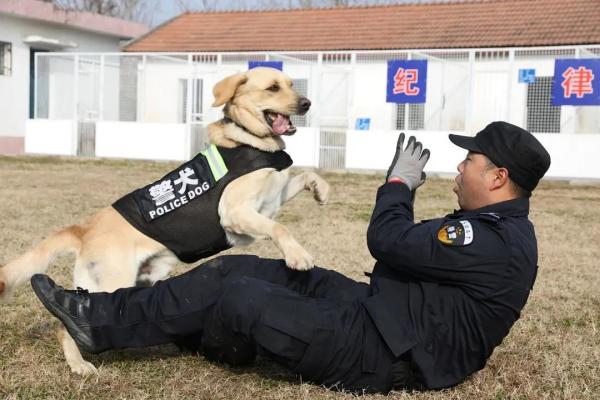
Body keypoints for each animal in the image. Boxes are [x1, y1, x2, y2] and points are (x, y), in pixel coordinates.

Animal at [0, 66, 330, 376]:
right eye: (273, 88)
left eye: (292, 84)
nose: (307, 103)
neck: (250, 141)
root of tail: (84, 229)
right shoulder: (235, 213)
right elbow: (279, 227)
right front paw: (298, 256)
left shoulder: (273, 198)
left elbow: (306, 176)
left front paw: (321, 190)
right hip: (110, 283)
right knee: (66, 326)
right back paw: (79, 364)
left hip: (138, 280)